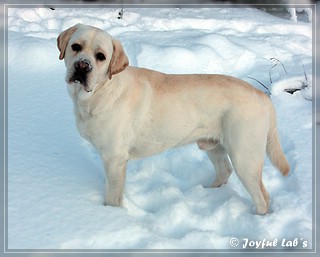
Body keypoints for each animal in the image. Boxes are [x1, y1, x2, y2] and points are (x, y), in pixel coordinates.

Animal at [57, 24, 290, 213]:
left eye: (101, 56)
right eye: (76, 46)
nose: (82, 66)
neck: (99, 92)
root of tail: (263, 96)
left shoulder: (114, 159)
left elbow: (113, 197)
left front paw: (110, 215)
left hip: (245, 157)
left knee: (262, 197)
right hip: (214, 146)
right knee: (225, 171)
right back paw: (207, 193)